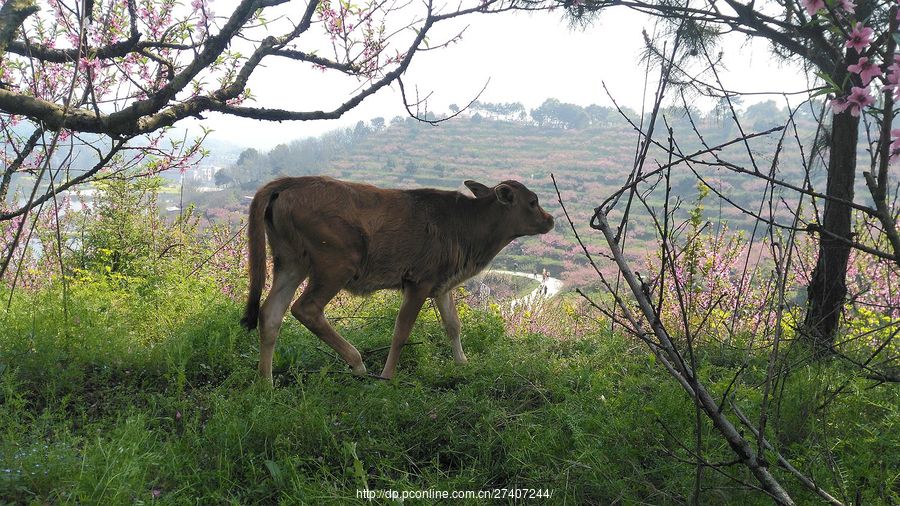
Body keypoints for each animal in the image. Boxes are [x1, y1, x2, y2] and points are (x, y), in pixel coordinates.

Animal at [239, 176, 552, 382]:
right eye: (533, 201)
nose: (550, 220)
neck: (468, 227)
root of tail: (287, 183)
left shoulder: (441, 284)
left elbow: (453, 325)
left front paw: (463, 363)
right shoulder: (418, 281)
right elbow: (401, 332)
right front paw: (388, 375)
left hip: (291, 261)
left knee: (271, 314)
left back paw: (265, 382)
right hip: (336, 262)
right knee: (306, 309)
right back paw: (357, 363)